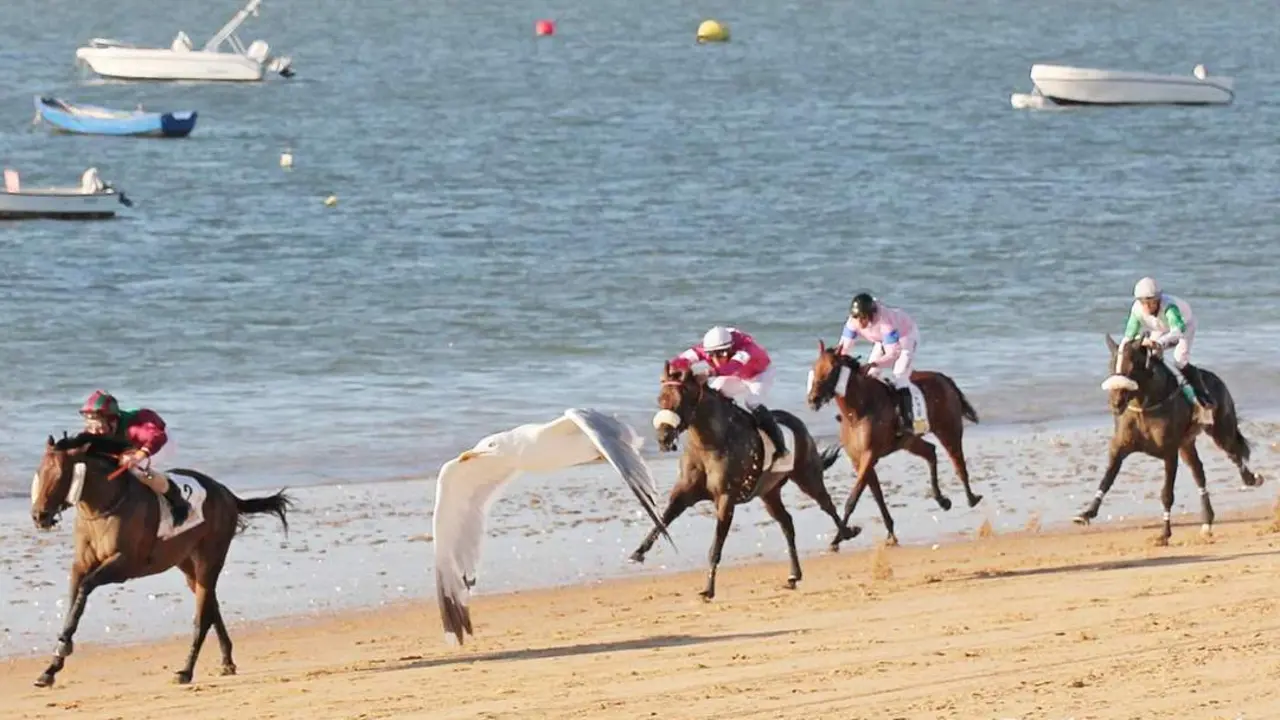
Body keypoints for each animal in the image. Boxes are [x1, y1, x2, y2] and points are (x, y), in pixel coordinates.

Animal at [28, 431, 293, 687]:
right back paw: (226, 661)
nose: (39, 516)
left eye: (60, 475)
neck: (104, 507)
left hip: (210, 557)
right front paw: (51, 667)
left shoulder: (124, 564)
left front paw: (62, 649)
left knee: (202, 618)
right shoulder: (81, 565)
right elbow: (73, 604)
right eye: (39, 472)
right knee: (211, 606)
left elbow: (84, 589)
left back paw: (186, 671)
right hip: (188, 564)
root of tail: (227, 494)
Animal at [629, 362, 860, 600]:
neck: (709, 444)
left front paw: (708, 589)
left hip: (807, 477)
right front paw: (638, 552)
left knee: (827, 505)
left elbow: (715, 547)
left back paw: (846, 533)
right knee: (786, 523)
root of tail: (798, 423)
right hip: (769, 493)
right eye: (660, 399)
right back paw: (794, 575)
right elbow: (663, 518)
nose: (663, 439)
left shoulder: (725, 499)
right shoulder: (684, 494)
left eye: (680, 400)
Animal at [806, 340, 982, 545]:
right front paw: (887, 531)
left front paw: (840, 537)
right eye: (815, 367)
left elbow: (853, 498)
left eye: (833, 369)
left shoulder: (869, 455)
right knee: (930, 451)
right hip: (909, 441)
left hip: (948, 430)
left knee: (958, 463)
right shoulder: (858, 460)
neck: (857, 412)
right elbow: (877, 496)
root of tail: (945, 378)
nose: (813, 399)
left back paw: (971, 498)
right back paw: (942, 500)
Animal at [1074, 334, 1262, 544]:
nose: (1116, 403)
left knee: (1235, 453)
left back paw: (1251, 479)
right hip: (1187, 445)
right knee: (1199, 473)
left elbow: (1166, 494)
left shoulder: (1169, 453)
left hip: (1221, 431)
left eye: (1131, 367)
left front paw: (1164, 532)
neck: (1146, 406)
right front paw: (1086, 513)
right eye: (1111, 365)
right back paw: (1207, 521)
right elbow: (1106, 480)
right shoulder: (1120, 447)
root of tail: (1216, 379)